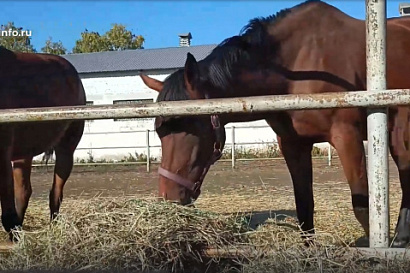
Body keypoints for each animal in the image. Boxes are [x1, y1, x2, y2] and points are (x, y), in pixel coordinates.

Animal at [139, 0, 410, 245]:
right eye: (159, 132)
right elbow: (304, 207)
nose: (169, 199)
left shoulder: (347, 137)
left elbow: (363, 207)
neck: (296, 69)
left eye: (192, 126)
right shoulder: (292, 144)